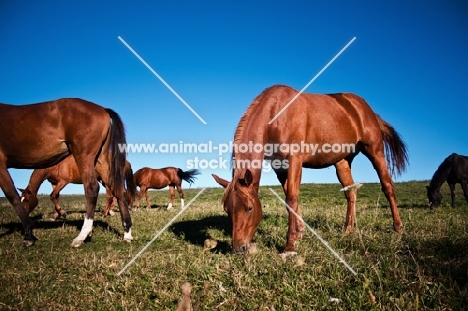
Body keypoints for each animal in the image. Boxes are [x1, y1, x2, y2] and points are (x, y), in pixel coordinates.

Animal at [0, 98, 135, 247]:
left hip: (84, 156)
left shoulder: (62, 181)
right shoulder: (54, 182)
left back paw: (83, 234)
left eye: (27, 199)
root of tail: (103, 109)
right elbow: (55, 196)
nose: (27, 210)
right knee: (118, 192)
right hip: (102, 162)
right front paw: (57, 214)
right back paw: (126, 232)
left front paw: (29, 235)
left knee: (93, 189)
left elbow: (13, 195)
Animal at [210, 84, 408, 254]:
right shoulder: (279, 167)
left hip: (375, 151)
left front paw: (289, 245)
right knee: (350, 192)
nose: (238, 248)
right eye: (227, 210)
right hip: (342, 162)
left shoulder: (295, 160)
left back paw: (398, 227)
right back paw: (347, 229)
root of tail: (365, 107)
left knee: (387, 186)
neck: (277, 115)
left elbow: (291, 198)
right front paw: (299, 233)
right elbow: (290, 198)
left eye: (249, 208)